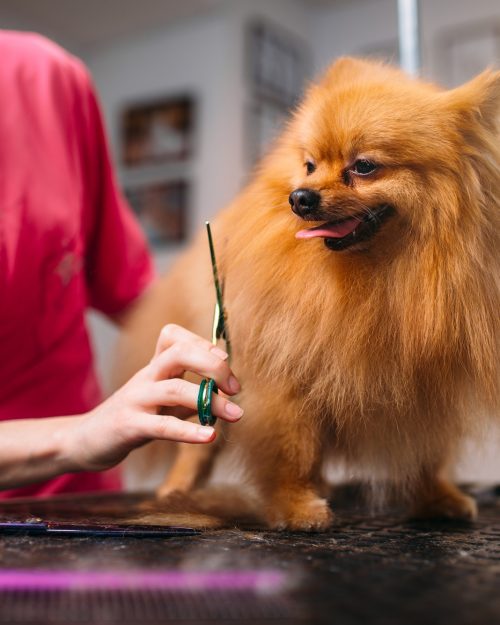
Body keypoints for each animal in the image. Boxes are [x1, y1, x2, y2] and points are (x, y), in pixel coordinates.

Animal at [114, 57, 500, 528]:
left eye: (364, 166)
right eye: (311, 165)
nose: (300, 197)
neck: (382, 274)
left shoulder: (428, 381)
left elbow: (427, 451)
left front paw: (437, 496)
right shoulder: (287, 374)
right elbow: (292, 448)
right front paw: (296, 507)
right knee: (201, 441)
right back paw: (177, 489)